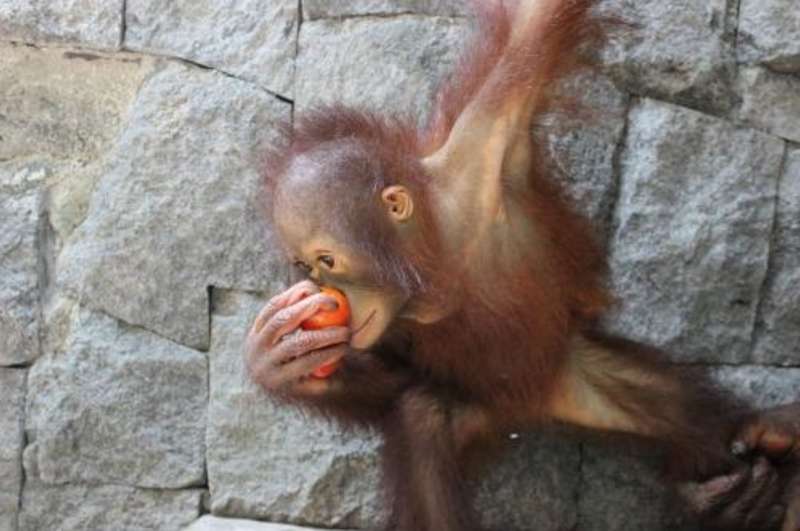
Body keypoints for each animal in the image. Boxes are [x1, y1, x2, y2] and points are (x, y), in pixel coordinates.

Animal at [244, 0, 800, 529]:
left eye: (327, 259)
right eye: (304, 265)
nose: (319, 286)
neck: (436, 255)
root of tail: (530, 403)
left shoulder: (489, 131)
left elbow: (536, 22)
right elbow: (396, 383)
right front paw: (280, 363)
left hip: (575, 372)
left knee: (682, 410)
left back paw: (755, 473)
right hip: (480, 406)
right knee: (422, 418)